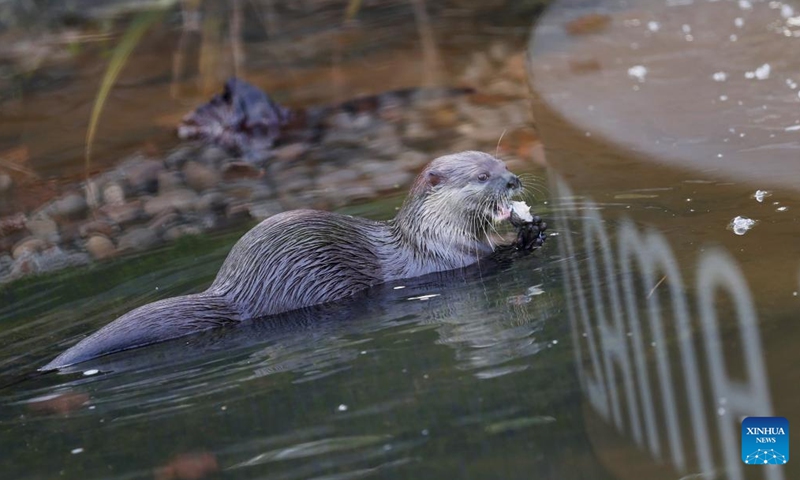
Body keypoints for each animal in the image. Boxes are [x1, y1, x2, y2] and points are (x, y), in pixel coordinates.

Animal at [42, 152, 544, 370]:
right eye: (483, 175)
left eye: (500, 160)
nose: (514, 179)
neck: (429, 235)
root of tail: (233, 294)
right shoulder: (450, 261)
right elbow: (493, 260)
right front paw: (527, 235)